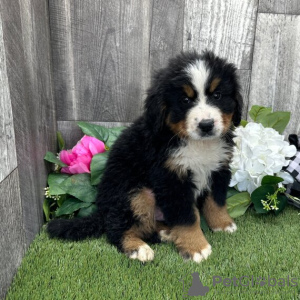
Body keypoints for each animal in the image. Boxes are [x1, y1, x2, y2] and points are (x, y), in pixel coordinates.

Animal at [47, 51, 244, 262]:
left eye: (217, 95)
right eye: (185, 100)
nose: (206, 125)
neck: (196, 143)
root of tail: (101, 210)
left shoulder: (218, 167)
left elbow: (216, 202)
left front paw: (223, 224)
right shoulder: (171, 178)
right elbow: (187, 217)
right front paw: (196, 247)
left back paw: (166, 233)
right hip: (135, 194)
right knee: (116, 229)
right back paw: (137, 247)